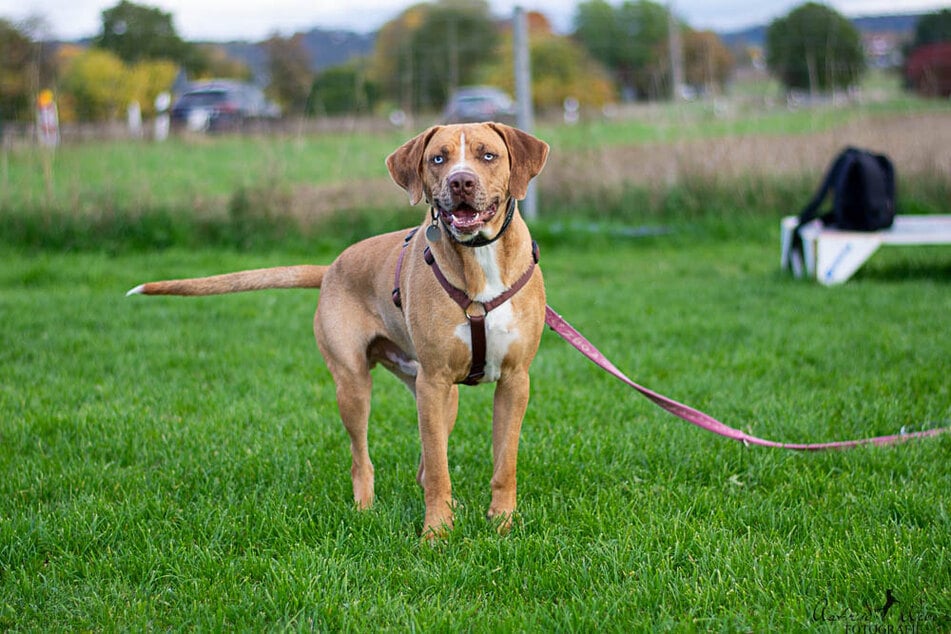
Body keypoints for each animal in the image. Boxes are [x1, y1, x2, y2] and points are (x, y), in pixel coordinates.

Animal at [131, 121, 556, 536]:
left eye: (489, 155)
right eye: (438, 158)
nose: (461, 182)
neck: (478, 258)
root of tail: (331, 267)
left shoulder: (513, 381)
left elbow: (504, 463)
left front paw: (502, 524)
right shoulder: (434, 380)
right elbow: (439, 471)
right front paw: (436, 534)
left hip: (433, 392)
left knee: (425, 460)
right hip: (358, 385)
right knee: (365, 459)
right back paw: (365, 510)